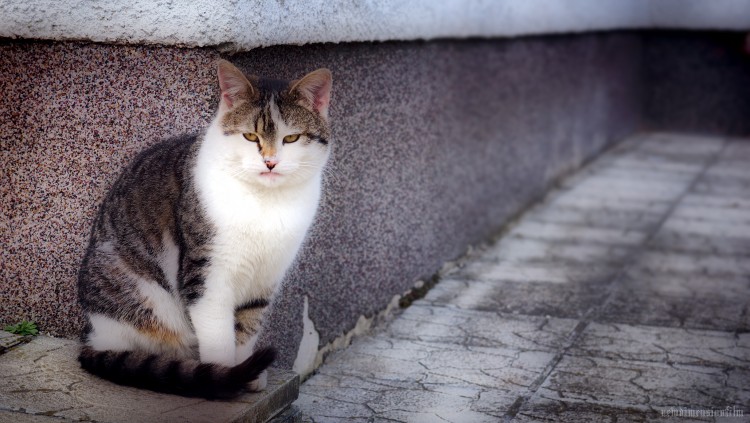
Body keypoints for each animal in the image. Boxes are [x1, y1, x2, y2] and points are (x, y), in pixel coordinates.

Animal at [78, 60, 334, 400]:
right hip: (140, 293)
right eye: (250, 136)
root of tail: (92, 335)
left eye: (291, 139)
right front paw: (225, 378)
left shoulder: (266, 276)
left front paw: (248, 374)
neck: (265, 203)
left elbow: (248, 326)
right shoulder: (206, 273)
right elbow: (218, 333)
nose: (270, 162)